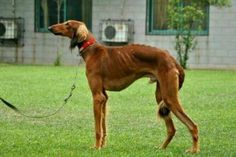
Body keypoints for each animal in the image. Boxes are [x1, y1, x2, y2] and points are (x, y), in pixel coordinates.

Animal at [48, 20, 200, 153]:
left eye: (67, 24)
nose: (50, 28)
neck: (92, 50)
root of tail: (173, 60)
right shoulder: (104, 97)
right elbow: (103, 126)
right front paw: (102, 145)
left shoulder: (97, 97)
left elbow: (97, 129)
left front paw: (96, 147)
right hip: (161, 98)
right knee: (171, 129)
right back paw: (162, 148)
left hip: (169, 98)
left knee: (193, 125)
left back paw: (194, 150)